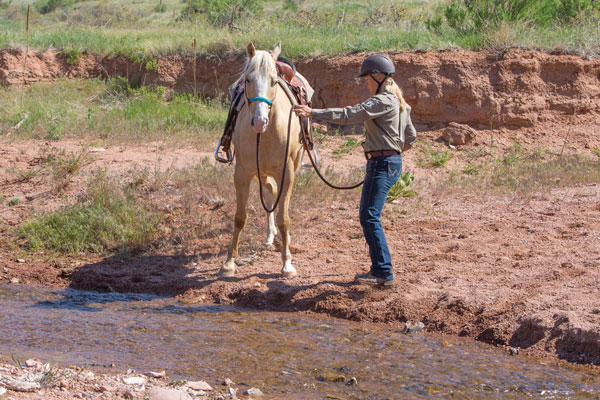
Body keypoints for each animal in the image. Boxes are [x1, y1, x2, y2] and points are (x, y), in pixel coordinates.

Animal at [219, 40, 304, 278]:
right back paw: (269, 235)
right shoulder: (242, 173)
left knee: (274, 195)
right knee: (270, 192)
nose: (259, 121)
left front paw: (287, 264)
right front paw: (229, 262)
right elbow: (239, 217)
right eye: (248, 79)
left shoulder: (287, 173)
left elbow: (285, 219)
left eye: (274, 81)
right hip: (261, 171)